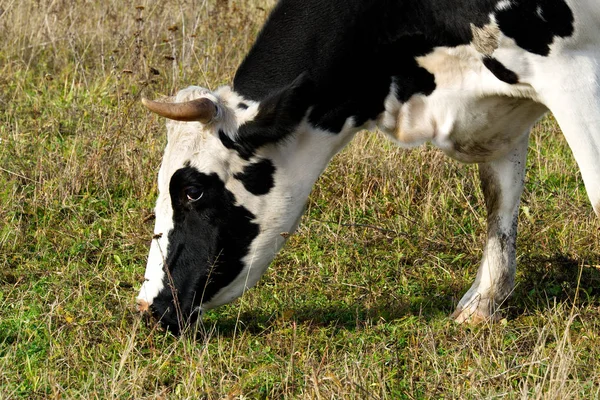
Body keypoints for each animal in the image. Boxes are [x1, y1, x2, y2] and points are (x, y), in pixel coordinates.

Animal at [138, 0, 600, 334]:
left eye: (193, 190)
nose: (146, 308)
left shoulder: (571, 67)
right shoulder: (498, 112)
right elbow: (499, 198)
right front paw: (484, 303)